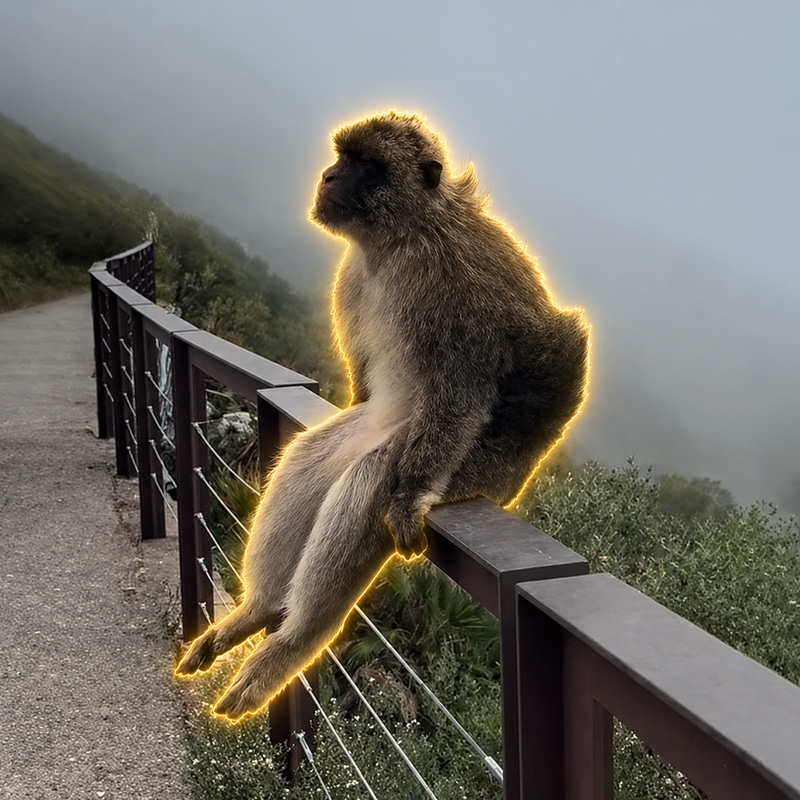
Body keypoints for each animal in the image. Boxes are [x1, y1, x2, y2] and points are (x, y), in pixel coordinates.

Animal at [175, 110, 590, 721]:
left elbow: (462, 391)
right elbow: (370, 382)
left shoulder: (447, 281)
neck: (396, 240)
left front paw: (411, 493)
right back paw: (259, 612)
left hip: (472, 470)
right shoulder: (355, 273)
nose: (327, 176)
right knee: (311, 459)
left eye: (364, 163)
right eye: (342, 156)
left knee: (376, 477)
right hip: (371, 426)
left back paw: (294, 640)